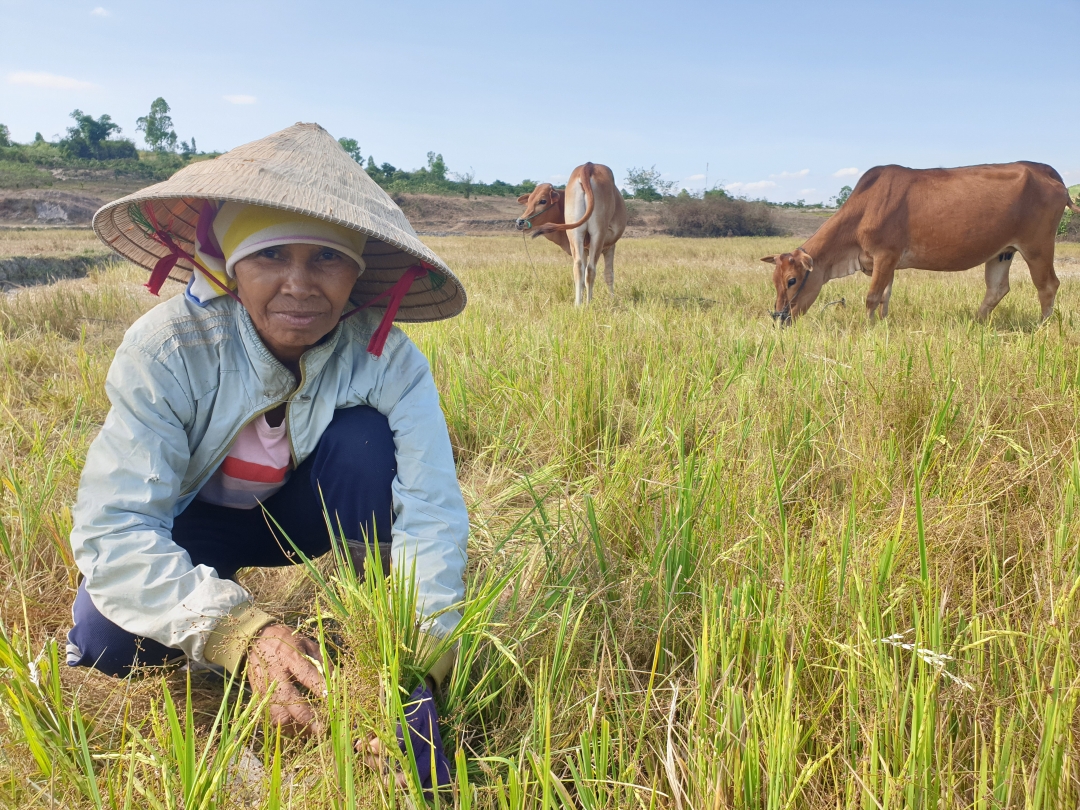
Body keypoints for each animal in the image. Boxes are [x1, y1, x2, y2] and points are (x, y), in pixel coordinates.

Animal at [516, 160, 630, 304]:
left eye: (543, 201)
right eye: (529, 201)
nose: (520, 222)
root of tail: (588, 166)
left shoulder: (591, 248)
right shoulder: (609, 246)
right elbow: (608, 274)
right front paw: (612, 300)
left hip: (575, 234)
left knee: (578, 268)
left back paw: (578, 304)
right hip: (597, 234)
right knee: (590, 270)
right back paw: (587, 303)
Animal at [760, 163, 1080, 326]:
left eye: (792, 280)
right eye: (774, 280)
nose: (779, 318)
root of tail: (1048, 172)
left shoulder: (885, 255)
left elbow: (872, 297)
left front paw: (867, 328)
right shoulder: (884, 263)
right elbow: (885, 297)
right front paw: (883, 325)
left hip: (1037, 246)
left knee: (1048, 286)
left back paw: (1041, 328)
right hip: (1003, 251)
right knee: (997, 289)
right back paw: (975, 323)